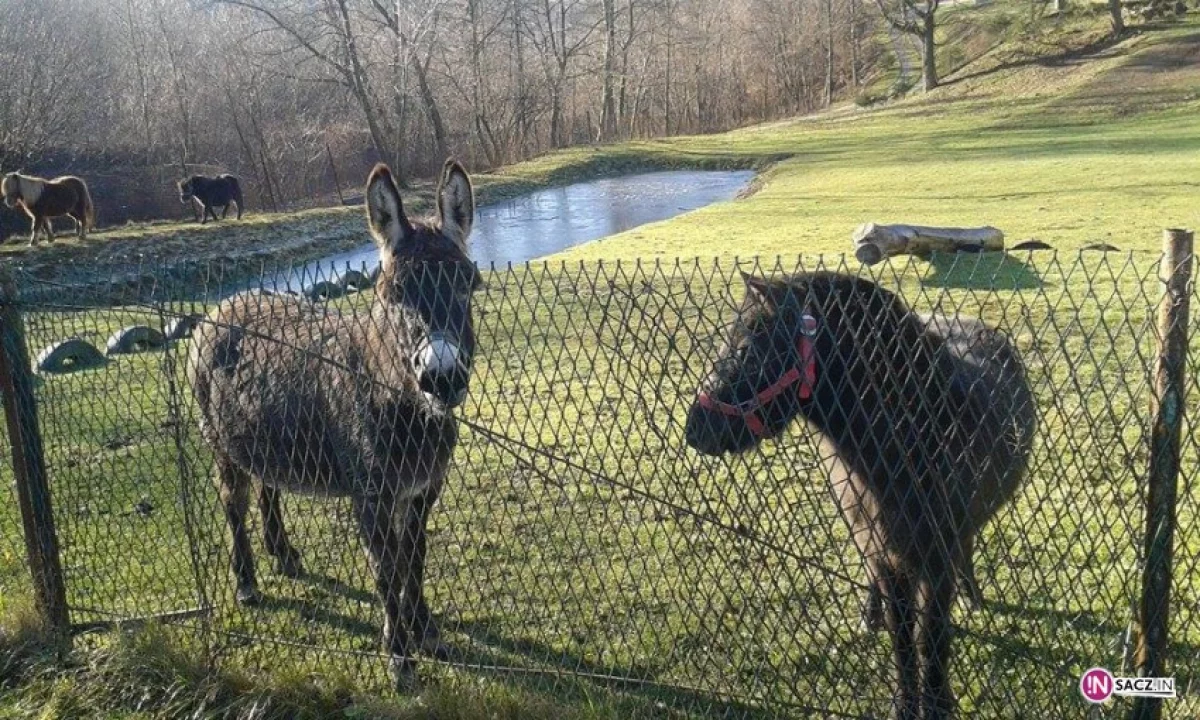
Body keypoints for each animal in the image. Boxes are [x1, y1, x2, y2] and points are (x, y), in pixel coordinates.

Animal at [691, 271, 1036, 720]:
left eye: (748, 349)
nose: (695, 429)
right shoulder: (887, 553)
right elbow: (902, 636)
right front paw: (905, 705)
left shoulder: (938, 557)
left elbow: (931, 637)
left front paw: (937, 704)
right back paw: (870, 615)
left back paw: (972, 594)